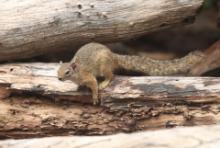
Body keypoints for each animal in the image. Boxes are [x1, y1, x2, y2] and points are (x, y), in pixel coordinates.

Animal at [57, 41, 205, 104]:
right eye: (57, 71)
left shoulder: (88, 76)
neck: (77, 72)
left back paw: (104, 82)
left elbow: (93, 85)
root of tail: (113, 56)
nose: (59, 78)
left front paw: (94, 97)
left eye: (67, 72)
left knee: (111, 75)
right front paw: (78, 87)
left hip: (104, 66)